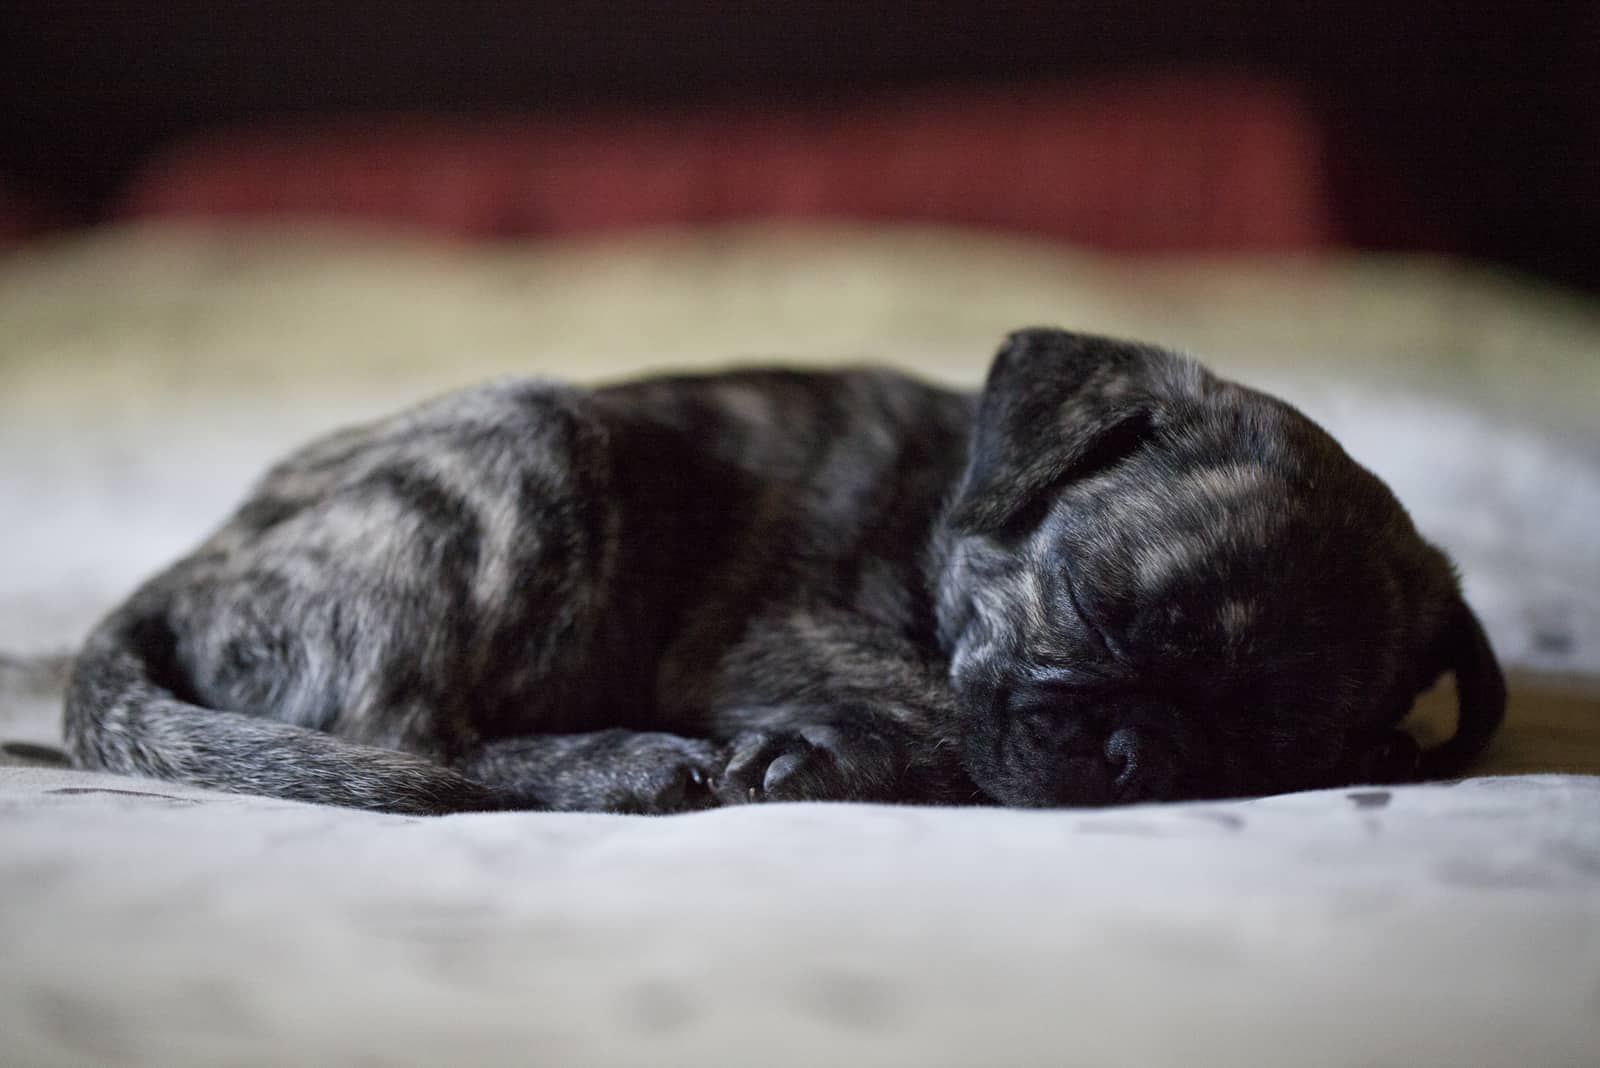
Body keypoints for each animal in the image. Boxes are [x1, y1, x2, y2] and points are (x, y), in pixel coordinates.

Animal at [62, 329, 1504, 812]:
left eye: (1283, 754)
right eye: (1098, 610)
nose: (1142, 756)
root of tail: (188, 573)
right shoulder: (782, 637)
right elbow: (943, 719)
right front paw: (812, 756)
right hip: (531, 444)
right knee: (412, 742)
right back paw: (626, 766)